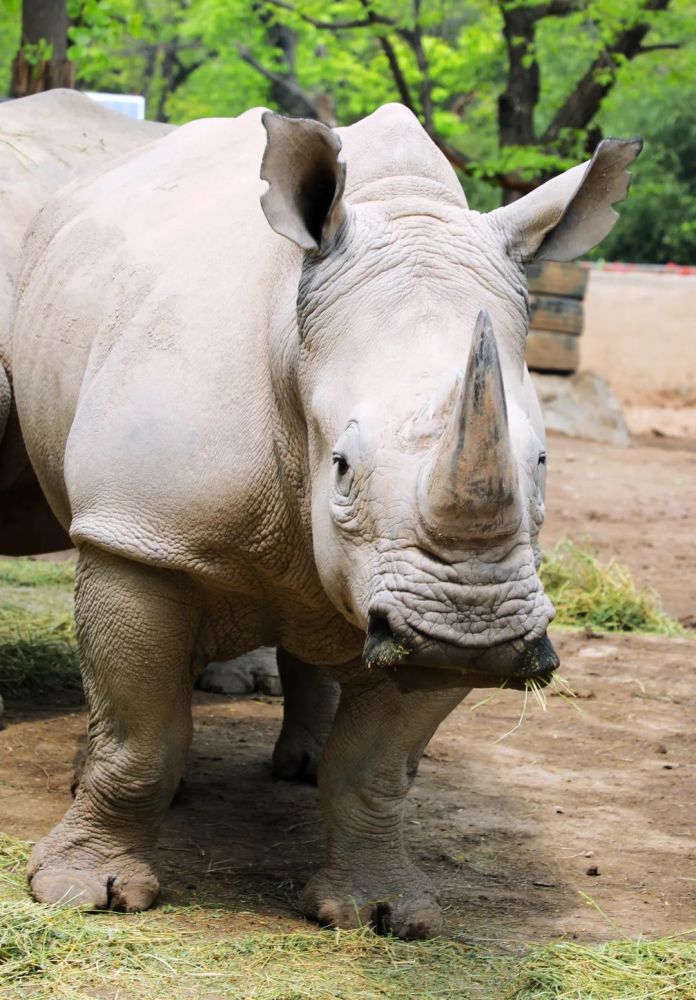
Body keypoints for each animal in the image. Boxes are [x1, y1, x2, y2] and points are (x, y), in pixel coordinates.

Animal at [12, 105, 640, 940]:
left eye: (541, 464)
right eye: (340, 466)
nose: (472, 635)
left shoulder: (435, 608)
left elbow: (373, 767)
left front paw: (381, 913)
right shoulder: (141, 532)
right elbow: (142, 737)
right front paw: (87, 893)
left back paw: (302, 768)